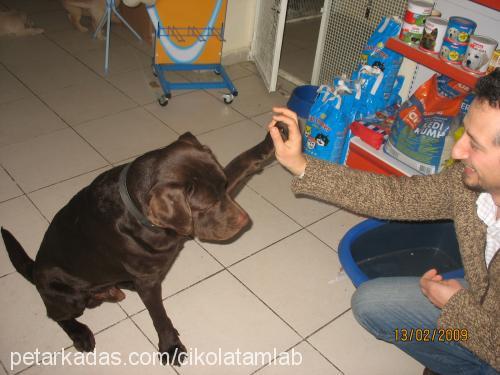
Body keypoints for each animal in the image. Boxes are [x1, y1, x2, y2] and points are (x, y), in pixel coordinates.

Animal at [1, 125, 288, 366]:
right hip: (67, 295)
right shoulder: (148, 282)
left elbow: (244, 160)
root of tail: (35, 269)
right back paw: (79, 332)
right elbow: (158, 316)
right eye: (205, 206)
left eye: (224, 188)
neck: (140, 215)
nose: (244, 221)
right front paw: (170, 346)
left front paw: (274, 137)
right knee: (57, 315)